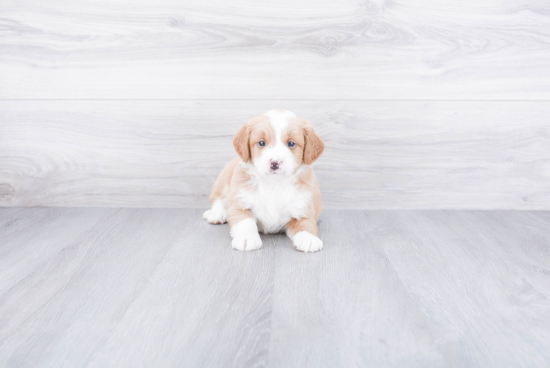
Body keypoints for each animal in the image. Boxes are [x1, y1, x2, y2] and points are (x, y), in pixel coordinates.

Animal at [203, 109, 326, 252]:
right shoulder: (240, 204)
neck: (274, 184)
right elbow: (245, 222)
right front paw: (247, 238)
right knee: (218, 198)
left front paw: (308, 238)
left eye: (291, 143)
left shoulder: (303, 210)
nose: (274, 163)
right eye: (261, 143)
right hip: (225, 177)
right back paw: (217, 214)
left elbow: (306, 225)